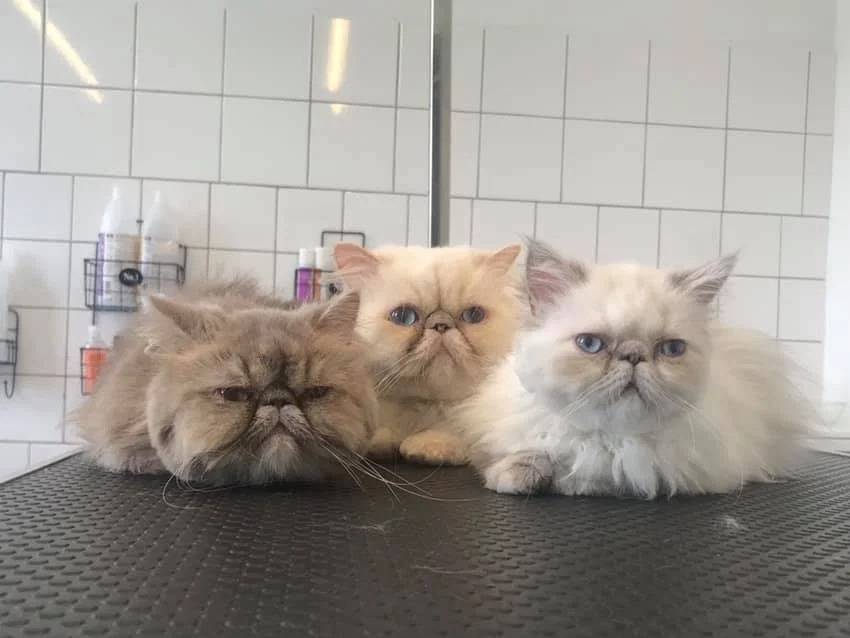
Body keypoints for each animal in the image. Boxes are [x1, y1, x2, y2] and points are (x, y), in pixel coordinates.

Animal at [333, 243, 522, 465]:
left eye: (473, 315)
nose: (441, 325)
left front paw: (430, 447)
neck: (424, 408)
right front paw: (378, 443)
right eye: (403, 316)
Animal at [460, 239, 813, 498]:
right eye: (590, 344)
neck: (611, 440)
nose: (633, 356)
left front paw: (572, 482)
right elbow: (521, 455)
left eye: (671, 349)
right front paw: (524, 475)